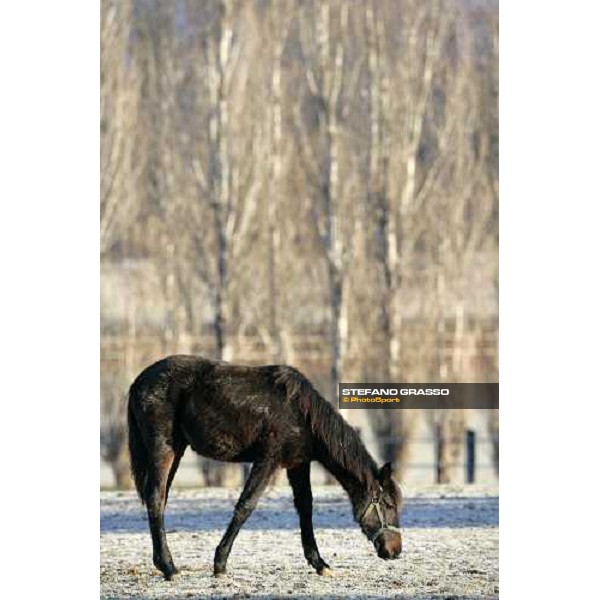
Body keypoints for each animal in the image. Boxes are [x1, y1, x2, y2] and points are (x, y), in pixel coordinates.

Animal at [129, 354, 406, 580]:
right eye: (388, 505)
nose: (395, 551)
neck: (302, 414)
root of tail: (138, 382)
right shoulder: (268, 461)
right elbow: (246, 505)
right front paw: (220, 564)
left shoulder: (297, 464)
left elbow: (305, 507)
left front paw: (320, 563)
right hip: (163, 449)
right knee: (155, 498)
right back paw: (169, 567)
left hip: (176, 450)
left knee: (160, 500)